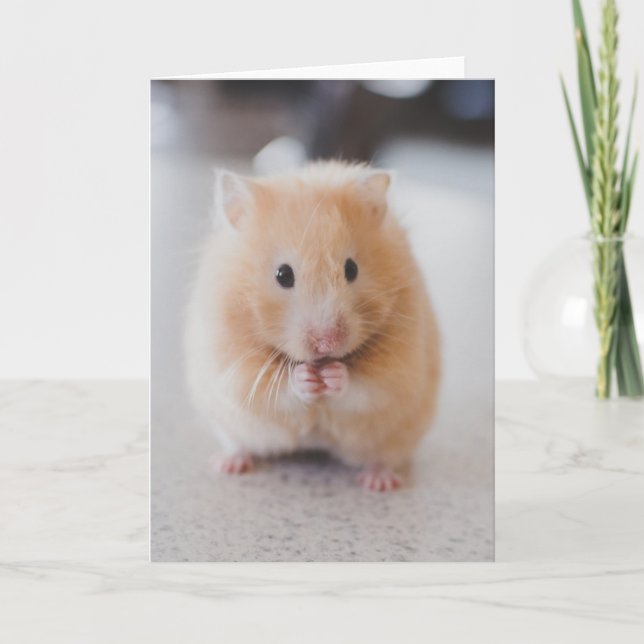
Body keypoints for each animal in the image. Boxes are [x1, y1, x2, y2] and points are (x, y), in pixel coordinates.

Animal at [184, 160, 440, 491]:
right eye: (283, 275)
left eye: (351, 269)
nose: (327, 343)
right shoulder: (233, 366)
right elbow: (276, 389)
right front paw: (306, 378)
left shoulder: (399, 368)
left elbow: (366, 387)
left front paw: (333, 375)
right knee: (239, 444)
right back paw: (228, 464)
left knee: (383, 457)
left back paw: (379, 482)